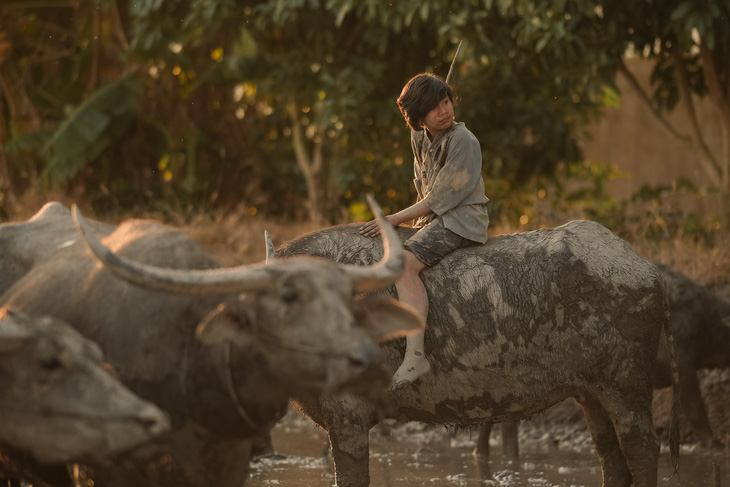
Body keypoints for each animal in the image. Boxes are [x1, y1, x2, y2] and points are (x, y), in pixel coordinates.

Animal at [276, 221, 680, 487]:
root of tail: (648, 270)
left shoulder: (347, 417)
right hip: (591, 393)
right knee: (611, 458)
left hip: (625, 387)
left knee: (643, 449)